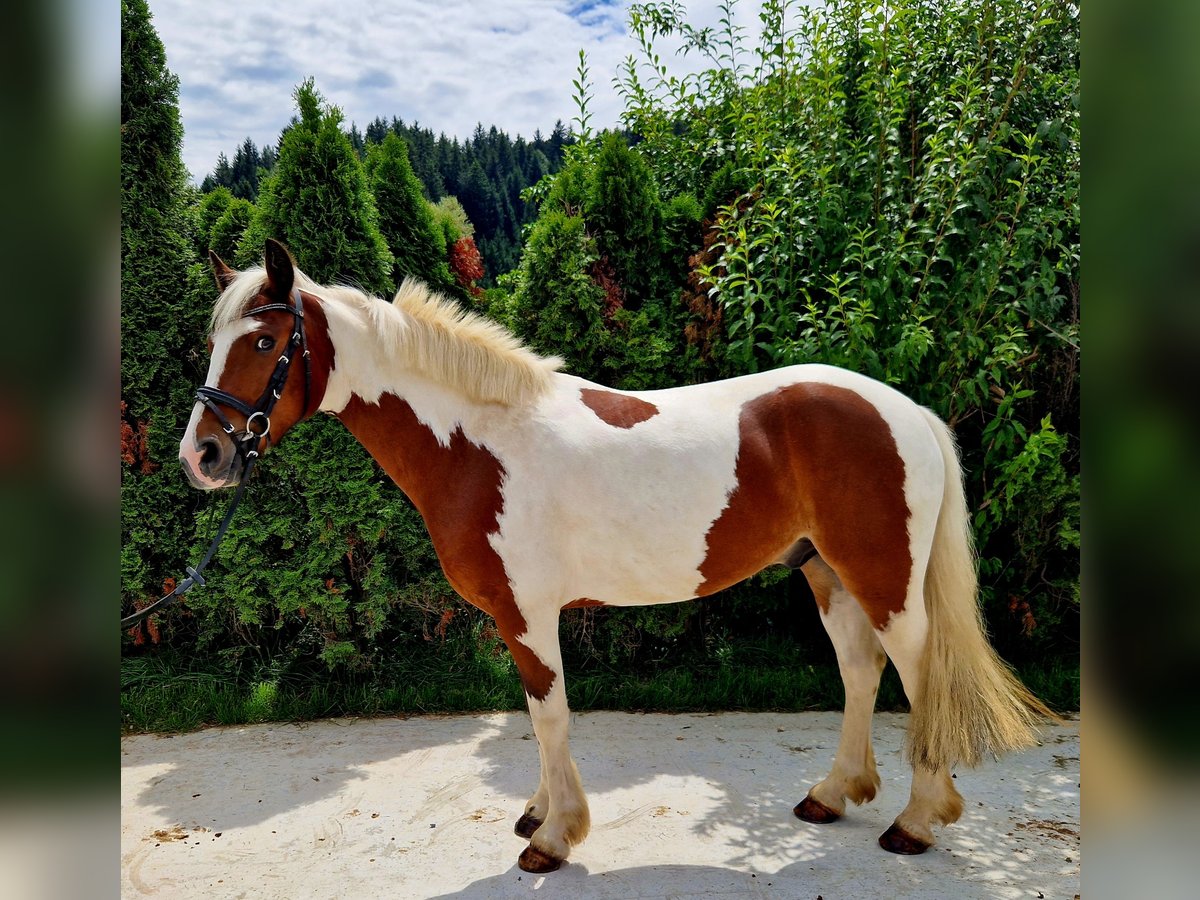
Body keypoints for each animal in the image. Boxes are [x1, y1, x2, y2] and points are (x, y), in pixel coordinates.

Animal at [177, 240, 1051, 873]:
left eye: (264, 340)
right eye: (214, 342)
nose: (203, 455)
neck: (479, 446)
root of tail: (907, 411)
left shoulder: (530, 613)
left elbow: (550, 713)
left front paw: (554, 837)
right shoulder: (519, 618)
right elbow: (535, 716)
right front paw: (537, 812)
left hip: (883, 578)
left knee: (919, 675)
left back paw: (917, 822)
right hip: (824, 571)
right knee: (862, 672)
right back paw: (833, 796)